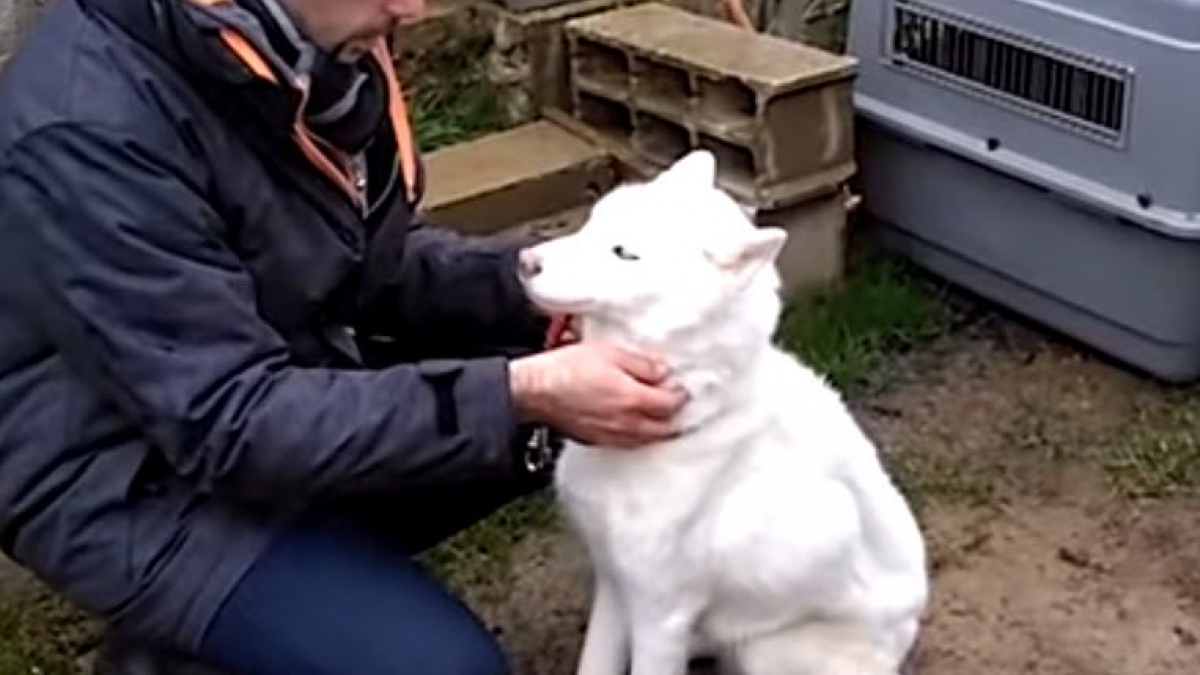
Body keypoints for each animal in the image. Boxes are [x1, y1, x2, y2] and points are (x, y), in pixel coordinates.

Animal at [518, 149, 926, 672]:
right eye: (593, 222)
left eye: (624, 253)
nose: (526, 261)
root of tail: (905, 636)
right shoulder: (613, 585)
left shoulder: (659, 615)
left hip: (767, 651)